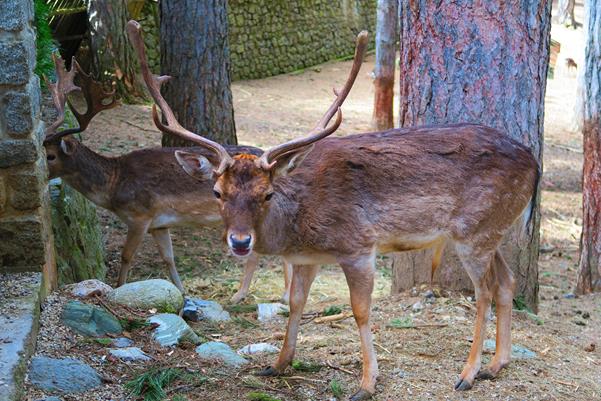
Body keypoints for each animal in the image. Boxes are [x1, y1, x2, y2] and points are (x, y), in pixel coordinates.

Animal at [43, 54, 292, 304]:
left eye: (50, 155)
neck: (114, 185)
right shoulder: (159, 224)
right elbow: (168, 258)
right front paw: (183, 293)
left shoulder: (140, 215)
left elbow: (126, 256)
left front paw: (118, 289)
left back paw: (247, 296)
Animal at [127, 21, 540, 400]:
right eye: (216, 191)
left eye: (267, 193)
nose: (240, 241)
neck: (301, 225)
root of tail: (535, 163)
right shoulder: (307, 258)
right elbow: (295, 303)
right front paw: (278, 364)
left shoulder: (358, 246)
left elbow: (360, 310)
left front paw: (367, 383)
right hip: (493, 228)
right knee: (506, 282)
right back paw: (495, 365)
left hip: (474, 230)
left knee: (484, 291)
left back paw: (467, 374)